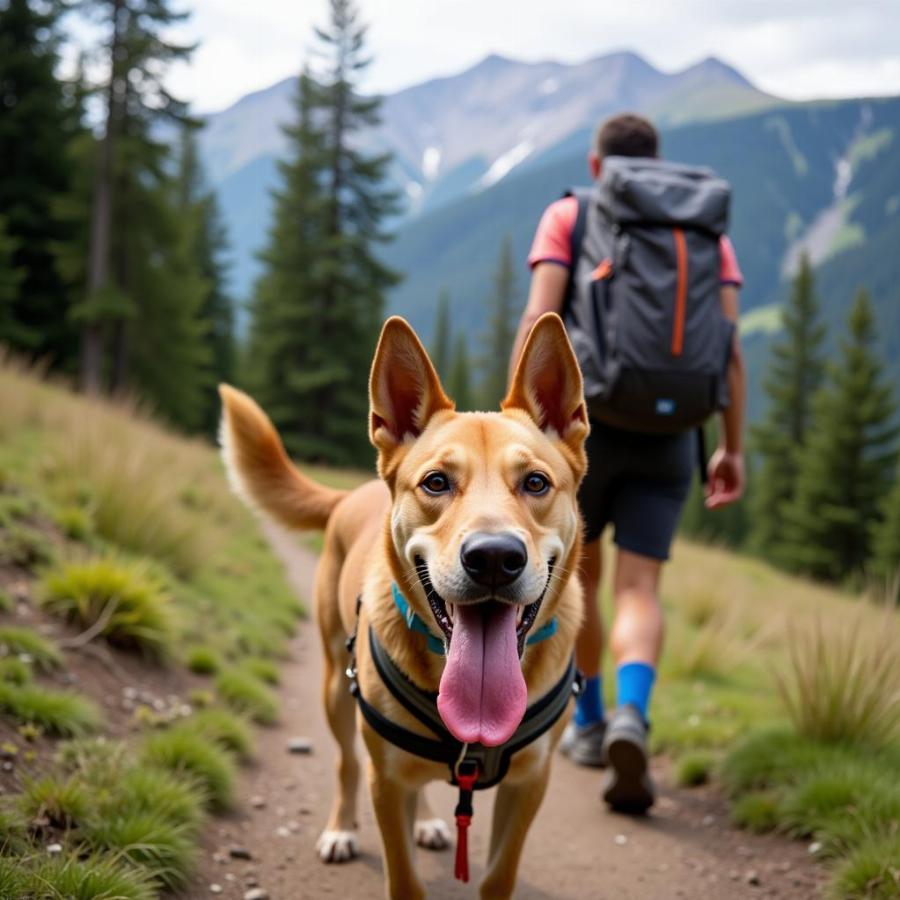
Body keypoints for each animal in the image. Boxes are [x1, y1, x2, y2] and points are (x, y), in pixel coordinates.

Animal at [220, 312, 592, 896]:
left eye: (536, 482)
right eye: (436, 482)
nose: (493, 558)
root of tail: (353, 492)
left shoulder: (530, 783)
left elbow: (498, 876)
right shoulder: (386, 782)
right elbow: (404, 876)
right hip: (336, 687)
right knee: (346, 765)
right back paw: (340, 829)